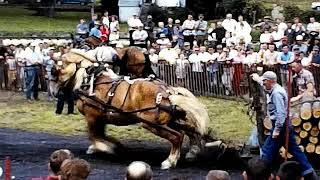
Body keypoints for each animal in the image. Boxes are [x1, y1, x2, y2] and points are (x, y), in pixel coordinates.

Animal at [53, 59, 210, 170]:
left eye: (55, 72)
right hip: (170, 121)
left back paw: (170, 161)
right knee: (189, 131)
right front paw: (113, 146)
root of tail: (169, 92)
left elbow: (94, 135)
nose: (55, 93)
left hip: (152, 124)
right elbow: (102, 135)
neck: (90, 82)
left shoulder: (92, 116)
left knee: (178, 136)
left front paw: (105, 148)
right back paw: (192, 151)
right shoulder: (101, 119)